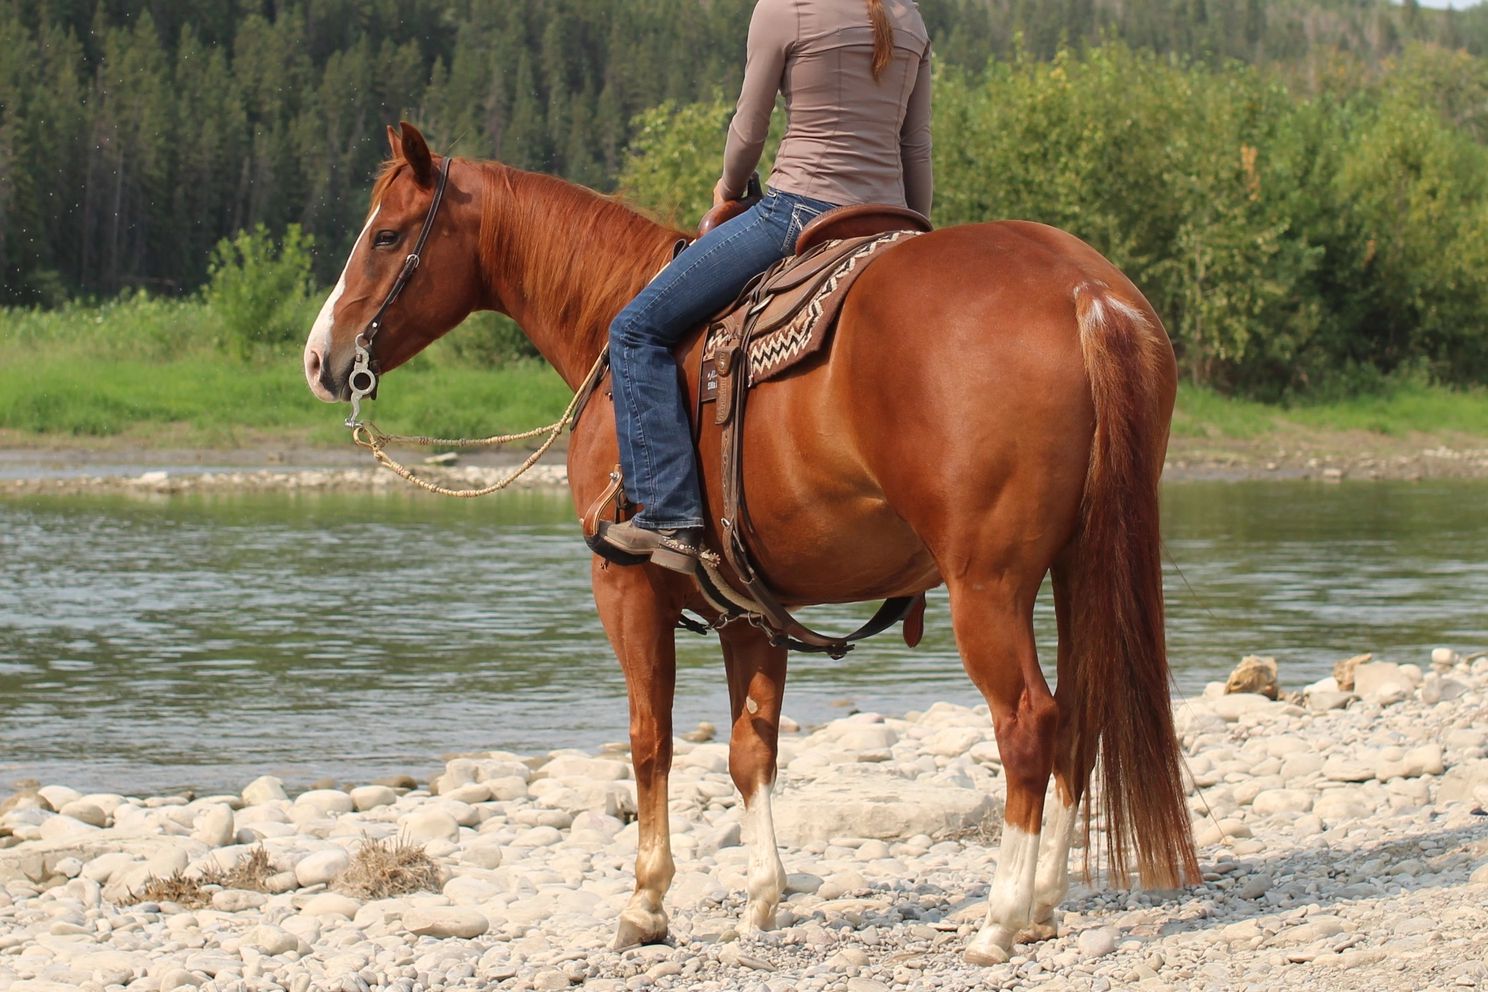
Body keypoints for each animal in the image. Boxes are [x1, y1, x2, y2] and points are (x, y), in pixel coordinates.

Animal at [301, 122, 1198, 966]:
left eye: (387, 236)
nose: (319, 358)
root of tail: (1084, 291)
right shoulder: (750, 610)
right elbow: (749, 750)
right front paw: (763, 899)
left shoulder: (626, 589)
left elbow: (649, 741)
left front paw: (647, 904)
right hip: (1080, 564)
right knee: (1083, 713)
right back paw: (1043, 903)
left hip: (989, 583)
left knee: (1028, 723)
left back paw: (999, 920)